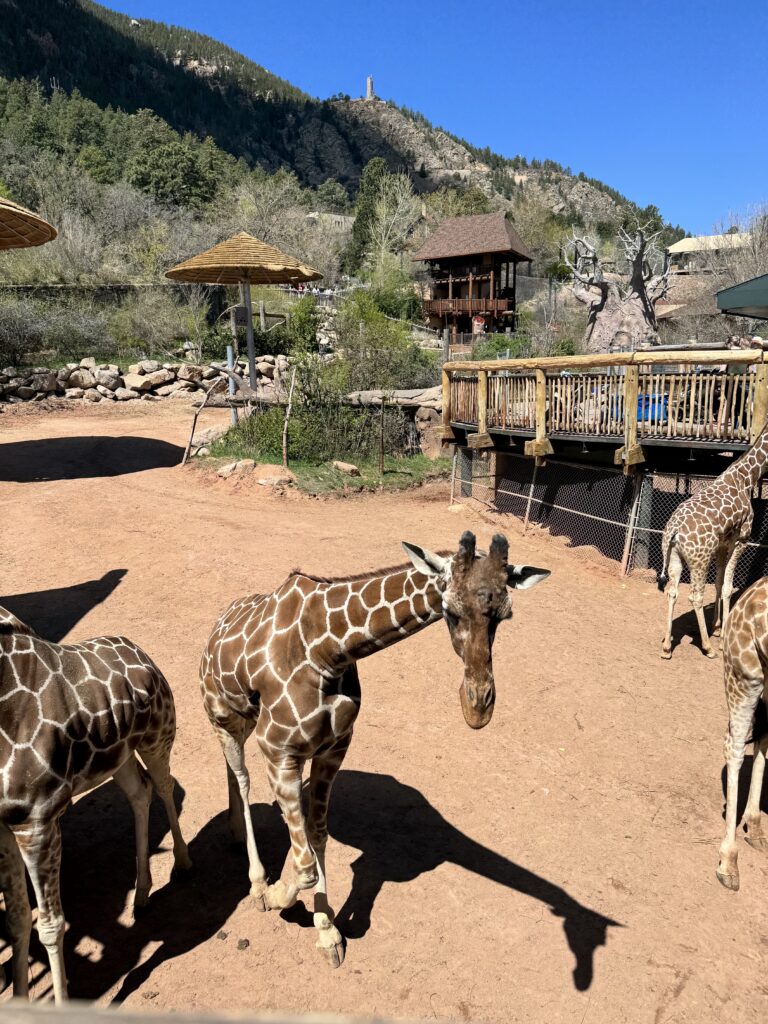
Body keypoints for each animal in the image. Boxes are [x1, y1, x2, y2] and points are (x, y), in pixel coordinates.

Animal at [0, 605, 191, 1002]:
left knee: (163, 786)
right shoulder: (7, 825)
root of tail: (141, 652)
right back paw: (142, 895)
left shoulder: (40, 823)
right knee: (140, 792)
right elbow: (17, 920)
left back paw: (182, 863)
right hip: (118, 758)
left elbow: (51, 926)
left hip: (157, 738)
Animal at [200, 530, 550, 968]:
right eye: (450, 610)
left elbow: (316, 837)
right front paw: (278, 895)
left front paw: (326, 930)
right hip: (222, 717)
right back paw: (257, 880)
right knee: (243, 779)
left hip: (251, 726)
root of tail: (217, 626)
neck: (328, 651)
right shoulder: (278, 749)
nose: (478, 708)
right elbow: (305, 866)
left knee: (248, 784)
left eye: (505, 615)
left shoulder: (332, 749)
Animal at [659, 421, 768, 659]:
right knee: (695, 597)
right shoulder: (741, 539)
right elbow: (727, 586)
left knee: (672, 591)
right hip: (699, 560)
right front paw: (722, 635)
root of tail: (674, 531)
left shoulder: (722, 543)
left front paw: (717, 627)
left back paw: (666, 646)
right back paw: (707, 647)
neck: (746, 476)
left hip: (674, 558)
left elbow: (718, 582)